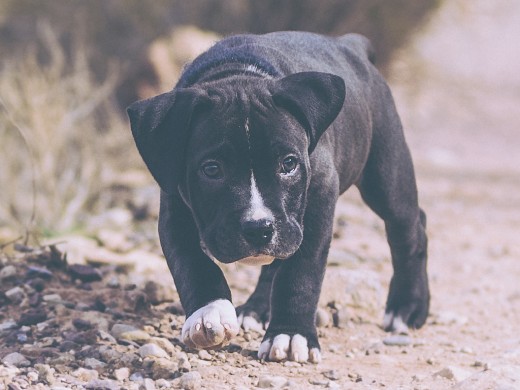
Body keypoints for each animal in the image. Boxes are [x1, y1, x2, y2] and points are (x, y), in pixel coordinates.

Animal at [128, 32, 428, 364]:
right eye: (212, 169)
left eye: (288, 164)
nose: (258, 228)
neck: (238, 72)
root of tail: (349, 44)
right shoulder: (175, 209)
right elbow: (192, 263)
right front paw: (210, 312)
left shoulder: (318, 202)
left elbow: (301, 271)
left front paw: (291, 333)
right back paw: (256, 309)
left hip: (386, 178)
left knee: (410, 229)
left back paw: (407, 307)